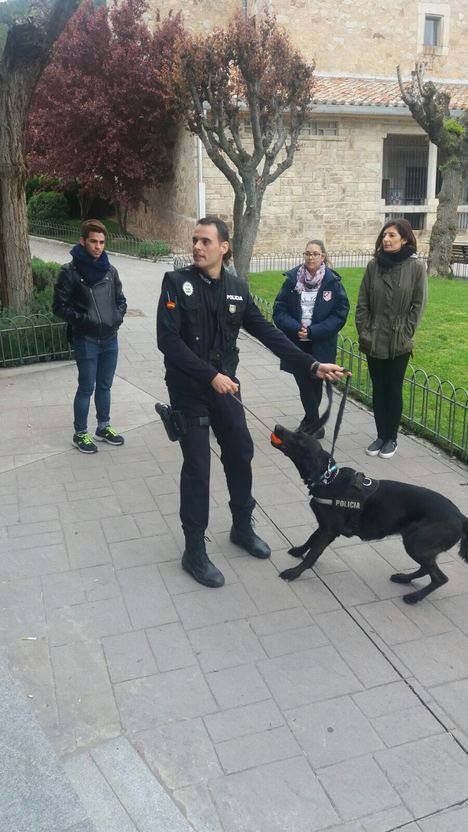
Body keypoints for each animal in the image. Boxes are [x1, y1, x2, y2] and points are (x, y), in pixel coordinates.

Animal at [270, 426, 468, 600]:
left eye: (299, 440)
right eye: (298, 432)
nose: (278, 427)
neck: (328, 479)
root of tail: (460, 516)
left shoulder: (329, 531)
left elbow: (312, 555)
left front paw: (294, 572)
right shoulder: (324, 526)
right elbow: (311, 539)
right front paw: (298, 551)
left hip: (416, 543)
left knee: (440, 577)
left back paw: (414, 597)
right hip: (417, 545)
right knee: (426, 569)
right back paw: (404, 578)